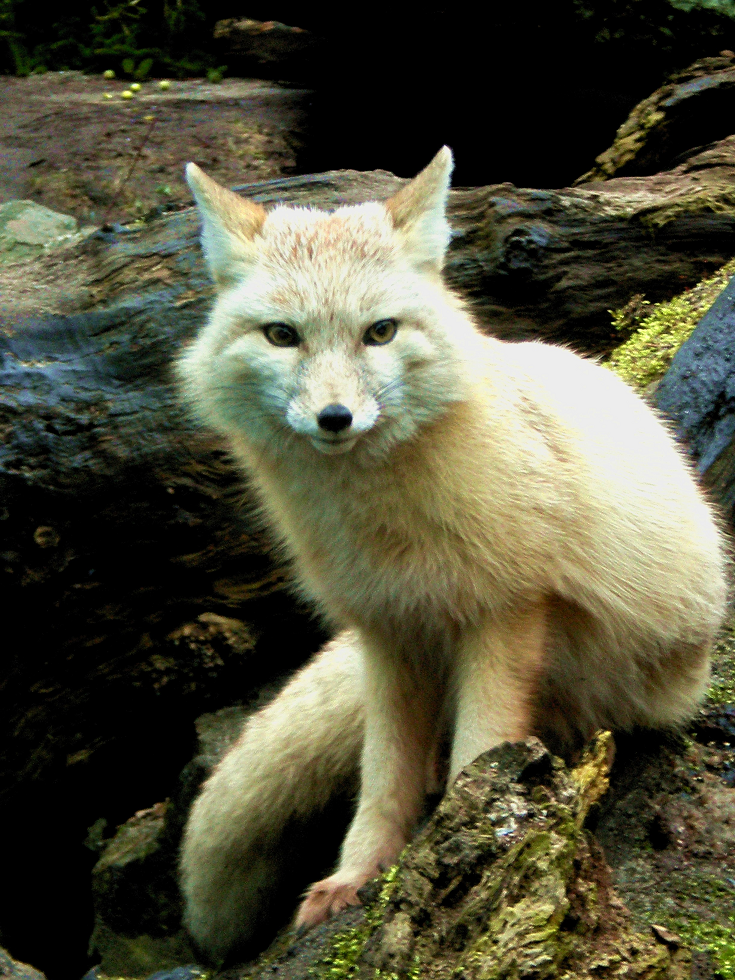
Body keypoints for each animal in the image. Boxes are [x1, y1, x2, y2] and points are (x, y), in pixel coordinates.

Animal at [175, 147, 728, 964]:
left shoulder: (507, 610)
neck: (380, 525)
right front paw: (357, 876)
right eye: (282, 336)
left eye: (378, 333)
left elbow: (481, 752)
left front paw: (474, 854)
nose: (334, 418)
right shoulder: (389, 631)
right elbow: (382, 778)